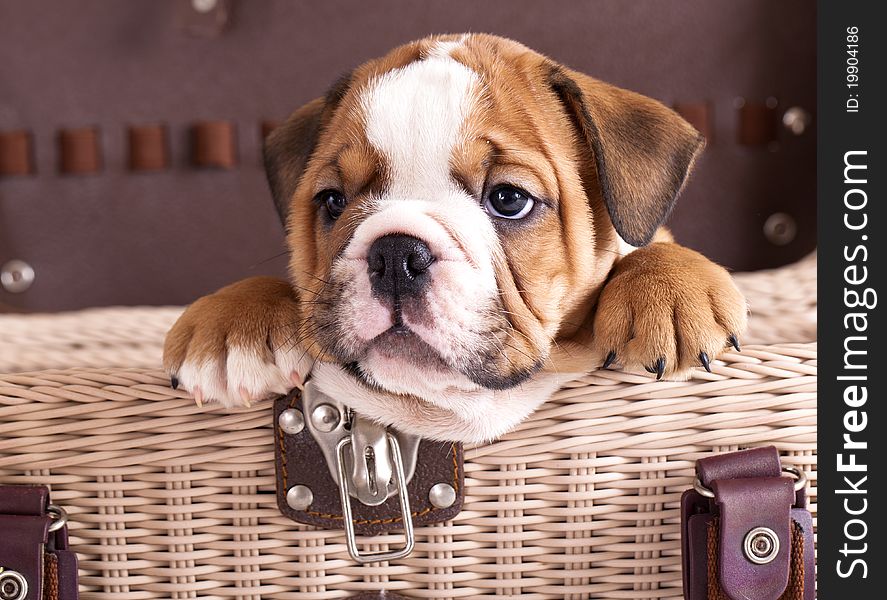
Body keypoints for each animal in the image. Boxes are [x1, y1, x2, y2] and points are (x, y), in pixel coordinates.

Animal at [161, 35, 748, 442]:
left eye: (509, 199)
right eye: (332, 201)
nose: (397, 253)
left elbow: (650, 247)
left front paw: (669, 295)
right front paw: (232, 327)